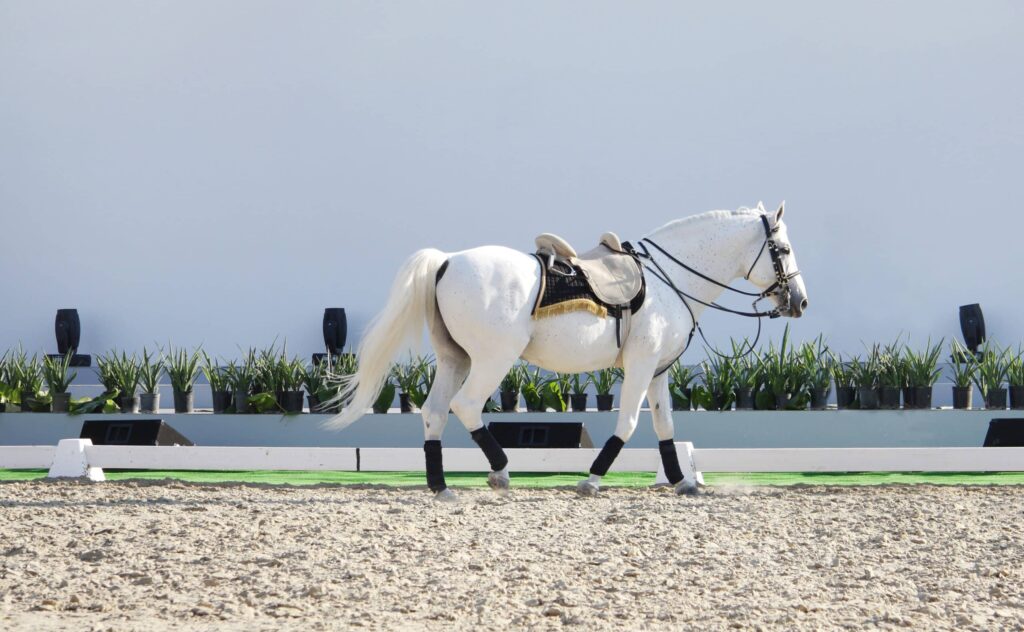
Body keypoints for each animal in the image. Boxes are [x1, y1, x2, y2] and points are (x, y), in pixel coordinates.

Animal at [324, 202, 808, 500]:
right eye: (782, 249)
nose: (800, 302)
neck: (671, 281)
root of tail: (446, 260)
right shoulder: (640, 366)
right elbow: (629, 423)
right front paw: (591, 480)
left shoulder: (658, 371)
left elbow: (666, 425)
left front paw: (681, 482)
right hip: (493, 359)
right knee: (466, 406)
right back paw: (500, 470)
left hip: (454, 358)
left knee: (435, 412)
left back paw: (441, 487)